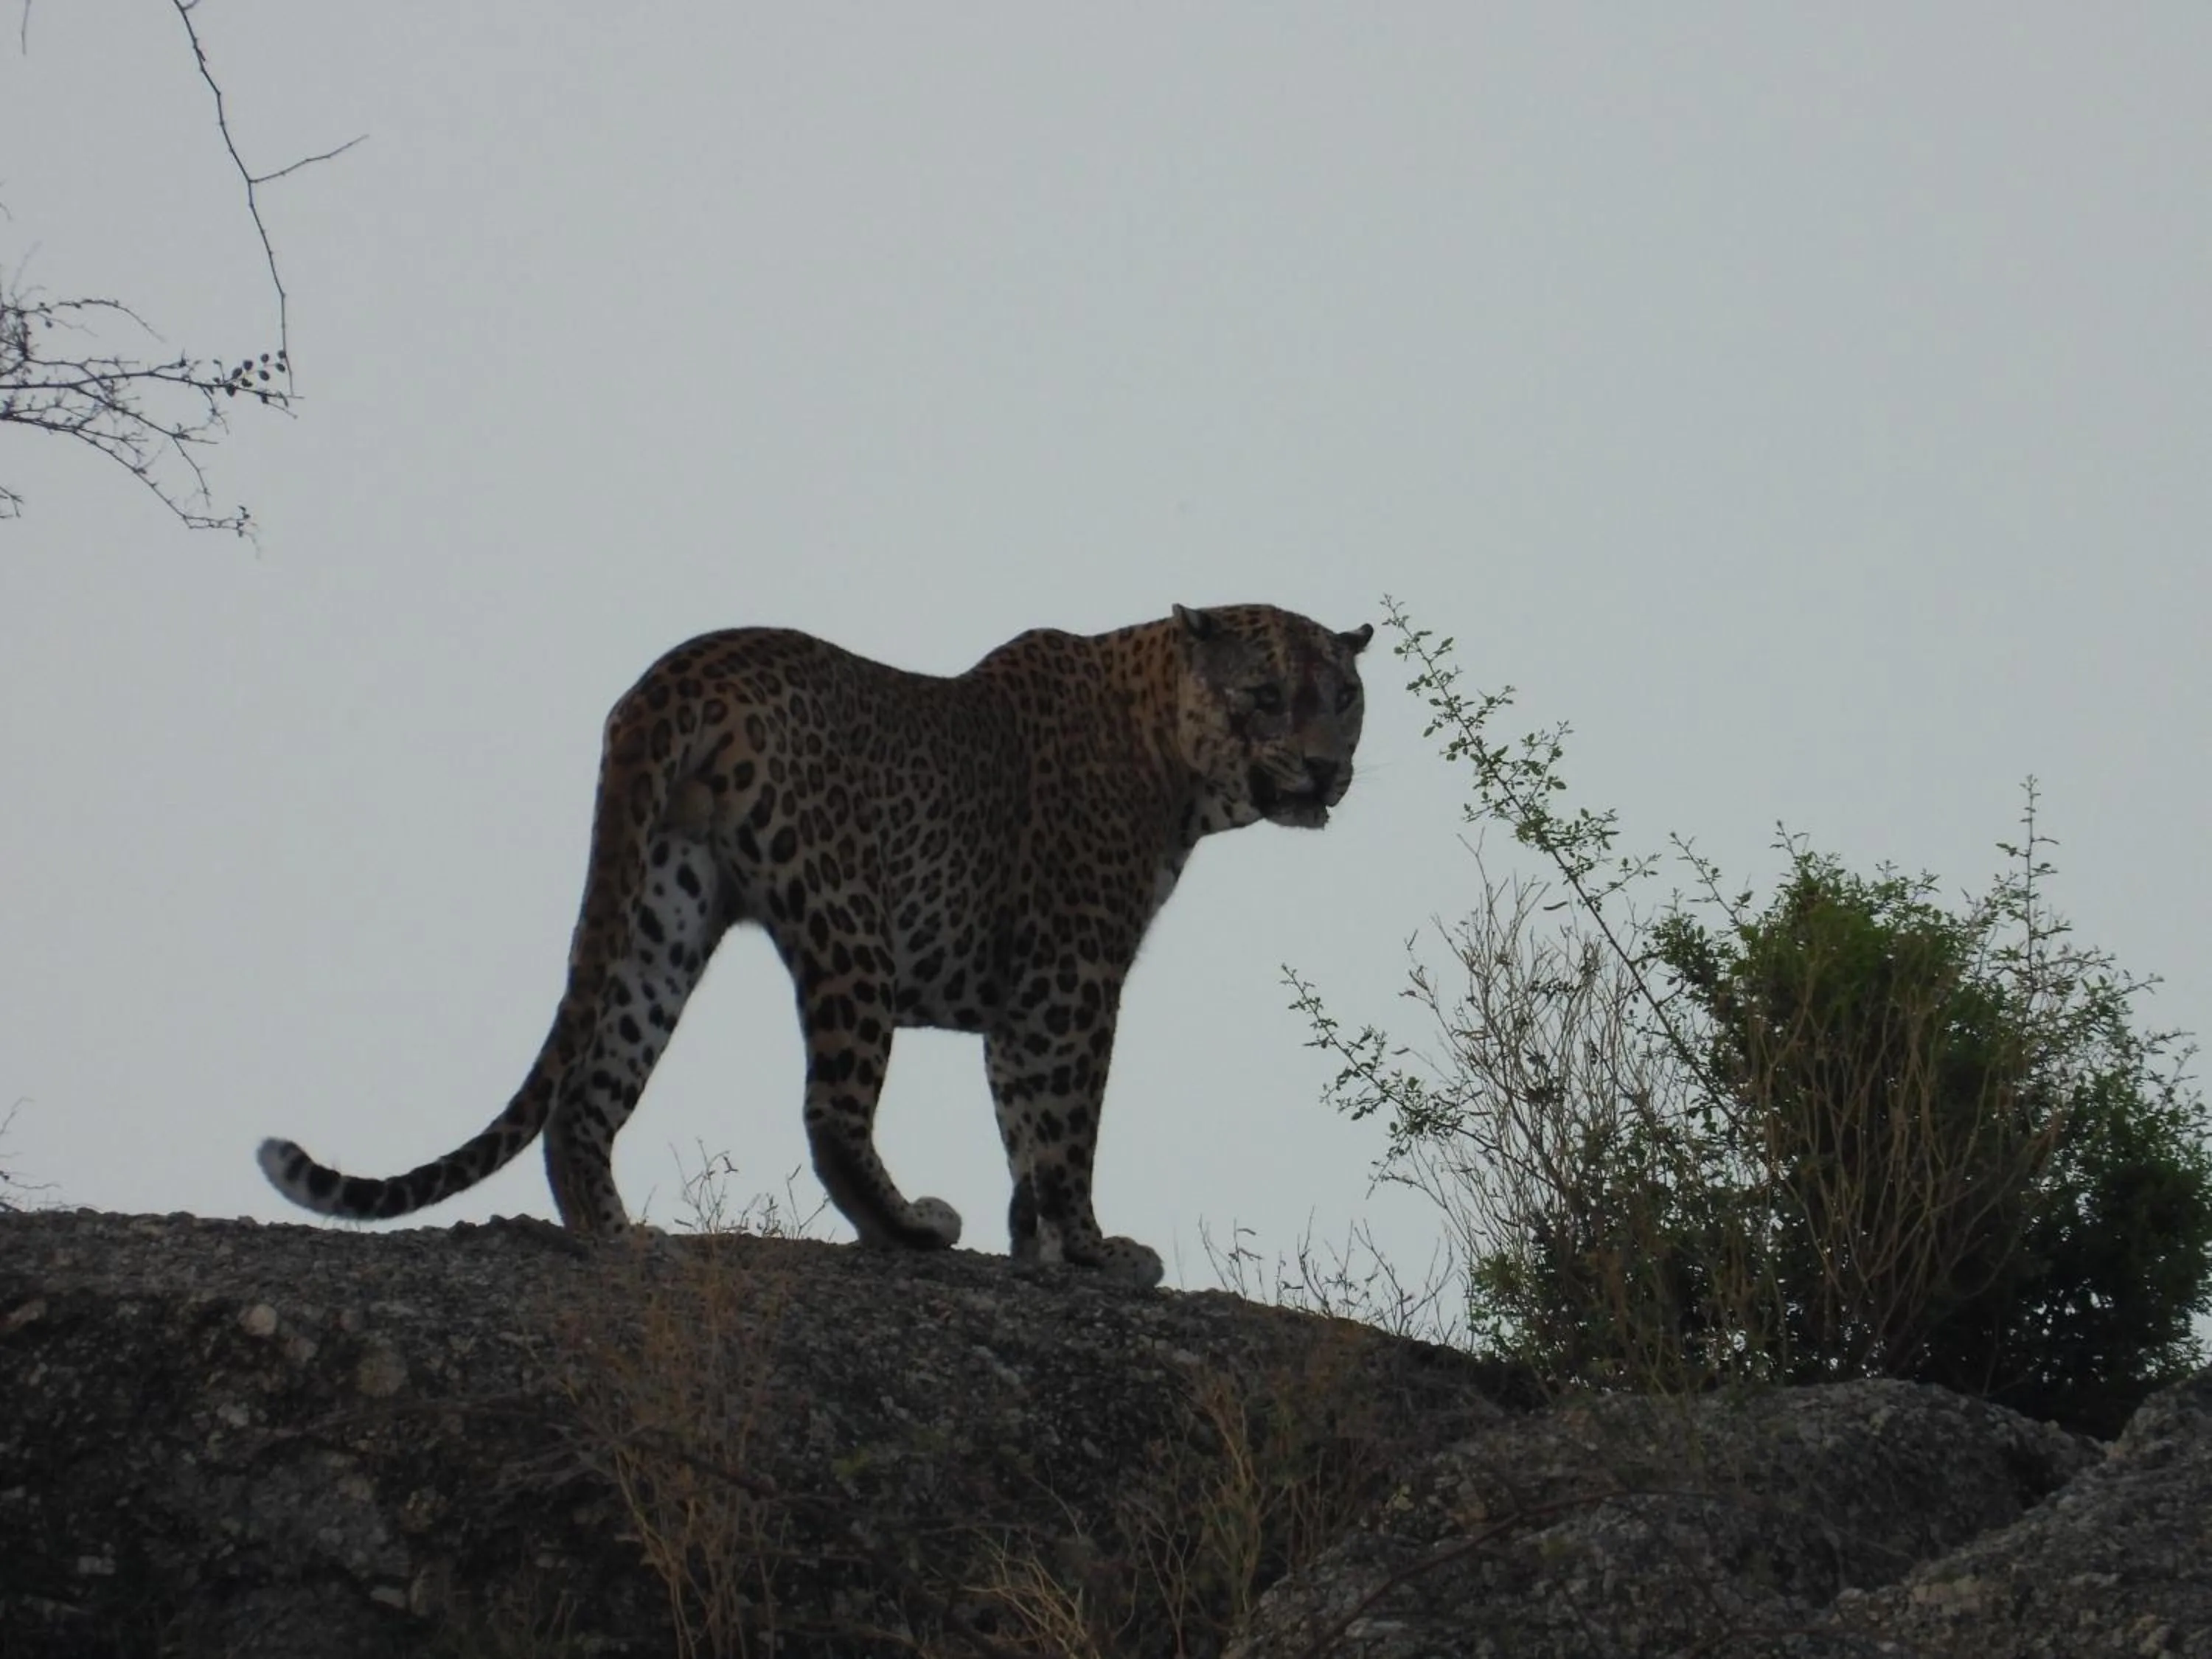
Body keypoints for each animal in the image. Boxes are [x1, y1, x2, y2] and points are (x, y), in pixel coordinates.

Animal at [257, 602, 1371, 1286]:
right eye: (1265, 696)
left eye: (1345, 699)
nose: (1326, 769)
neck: (1175, 763)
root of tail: (678, 670)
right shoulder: (1072, 976)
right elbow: (1064, 1130)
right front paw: (1095, 1255)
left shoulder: (1026, 1002)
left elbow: (1024, 1125)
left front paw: (1041, 1254)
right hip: (846, 920)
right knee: (829, 1111)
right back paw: (911, 1227)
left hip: (664, 908)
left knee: (585, 1097)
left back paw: (622, 1240)